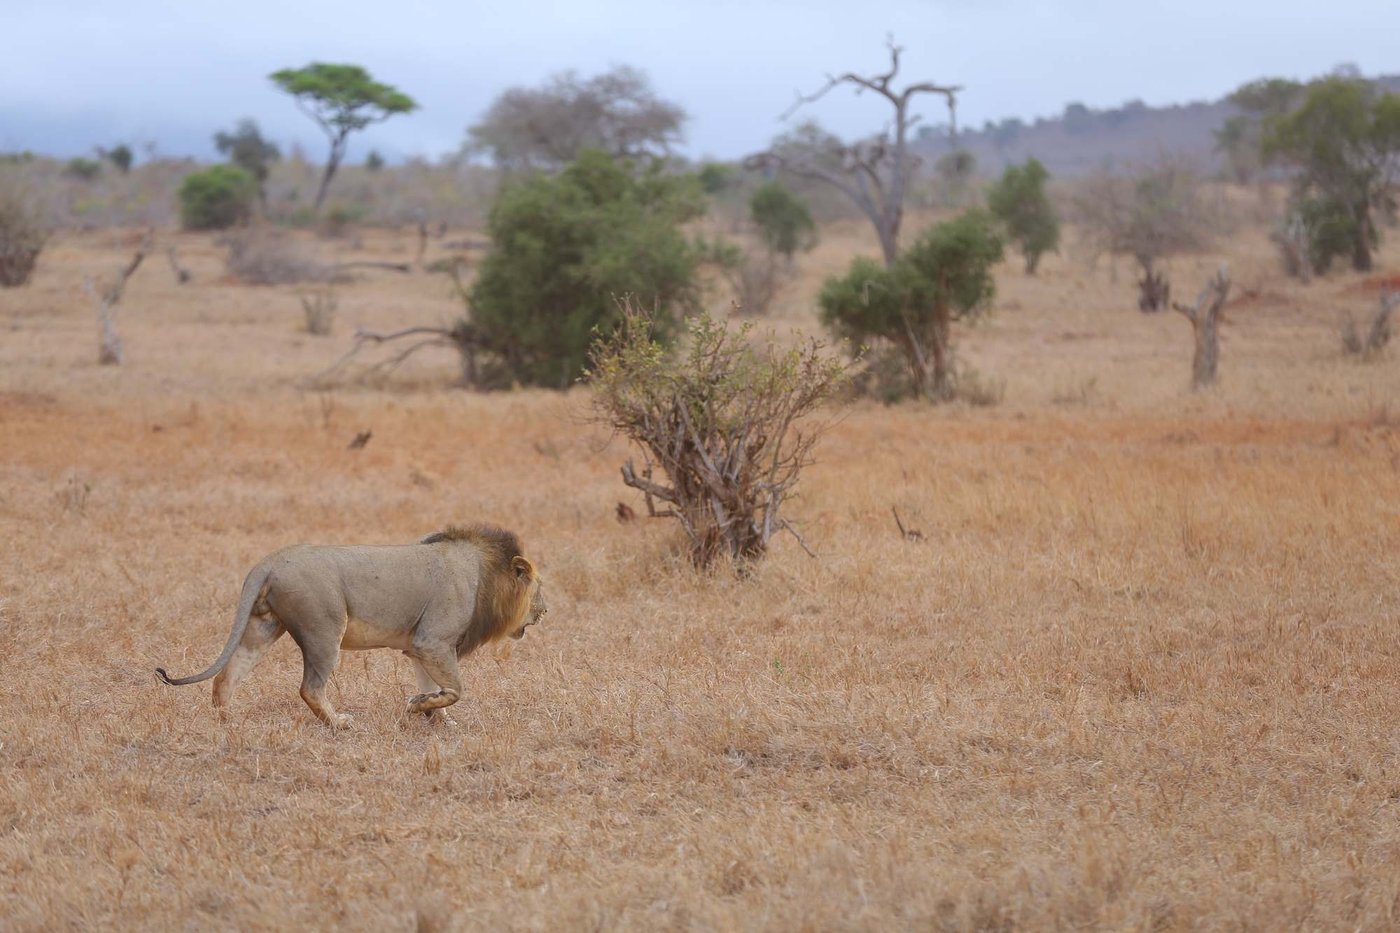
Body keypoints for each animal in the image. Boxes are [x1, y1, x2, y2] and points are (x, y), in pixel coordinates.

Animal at [155, 524, 547, 728]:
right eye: (538, 588)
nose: (546, 611)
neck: (483, 575)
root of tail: (269, 561)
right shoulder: (433, 641)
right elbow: (456, 688)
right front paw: (418, 707)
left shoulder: (421, 648)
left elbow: (437, 686)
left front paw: (436, 717)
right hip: (324, 630)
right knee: (310, 688)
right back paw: (339, 723)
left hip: (263, 627)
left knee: (228, 674)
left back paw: (227, 719)